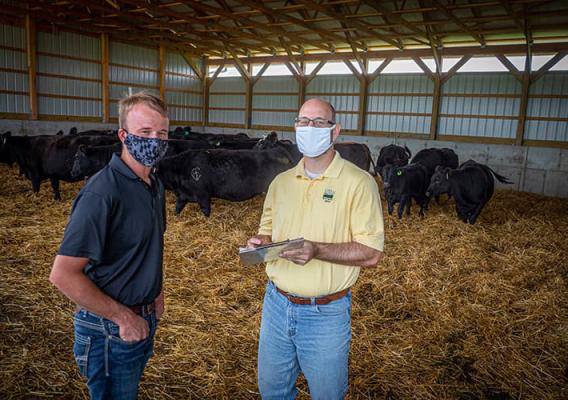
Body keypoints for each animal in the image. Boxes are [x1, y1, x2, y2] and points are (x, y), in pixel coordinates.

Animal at [158, 146, 296, 216]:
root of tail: (278, 150)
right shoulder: (182, 195)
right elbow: (178, 207)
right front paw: (176, 216)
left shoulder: (203, 194)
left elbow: (205, 210)